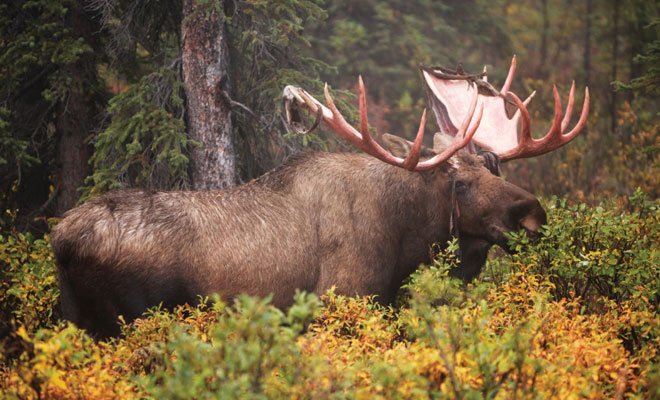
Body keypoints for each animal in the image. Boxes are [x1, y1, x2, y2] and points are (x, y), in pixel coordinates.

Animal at [50, 57, 588, 338]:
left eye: (494, 166)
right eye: (458, 182)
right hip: (121, 320)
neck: (407, 241)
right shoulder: (345, 299)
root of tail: (59, 240)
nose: (532, 214)